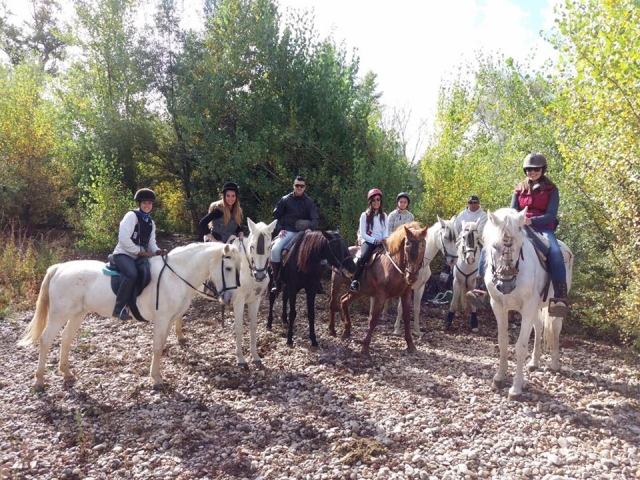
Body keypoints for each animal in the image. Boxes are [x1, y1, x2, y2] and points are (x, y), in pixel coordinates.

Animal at [20, 244, 241, 390]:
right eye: (228, 268)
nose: (230, 298)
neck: (176, 275)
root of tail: (59, 268)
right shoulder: (162, 320)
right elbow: (157, 347)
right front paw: (156, 379)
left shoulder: (169, 320)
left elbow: (161, 346)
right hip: (60, 314)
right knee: (46, 340)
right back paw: (39, 381)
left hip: (78, 313)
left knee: (66, 339)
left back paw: (66, 373)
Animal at [175, 219, 278, 366]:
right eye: (252, 247)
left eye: (269, 247)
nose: (259, 275)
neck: (247, 271)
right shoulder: (239, 301)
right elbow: (239, 327)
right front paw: (240, 358)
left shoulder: (255, 300)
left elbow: (253, 326)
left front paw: (255, 356)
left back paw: (180, 336)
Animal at [338, 221, 428, 352]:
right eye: (407, 244)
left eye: (423, 245)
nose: (412, 276)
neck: (395, 265)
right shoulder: (381, 294)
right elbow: (374, 319)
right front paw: (365, 347)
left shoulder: (406, 293)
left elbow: (406, 317)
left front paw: (411, 345)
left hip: (358, 291)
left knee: (343, 301)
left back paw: (346, 331)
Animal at [484, 208, 576, 400]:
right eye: (494, 246)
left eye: (520, 246)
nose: (505, 284)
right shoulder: (498, 307)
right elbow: (503, 341)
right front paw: (499, 377)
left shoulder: (527, 309)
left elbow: (520, 347)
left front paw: (516, 388)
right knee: (539, 327)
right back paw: (534, 362)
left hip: (552, 307)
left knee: (555, 328)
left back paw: (555, 364)